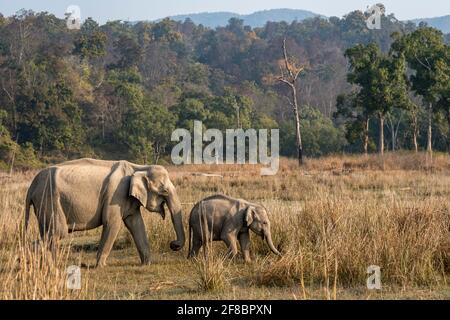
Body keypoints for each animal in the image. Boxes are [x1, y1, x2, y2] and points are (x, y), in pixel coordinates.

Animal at [23, 158, 185, 268]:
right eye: (164, 191)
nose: (173, 244)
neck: (138, 167)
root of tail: (32, 185)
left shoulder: (127, 200)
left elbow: (136, 224)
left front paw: (147, 264)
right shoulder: (115, 195)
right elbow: (112, 223)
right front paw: (100, 266)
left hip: (44, 204)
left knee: (49, 234)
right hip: (50, 199)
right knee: (58, 232)